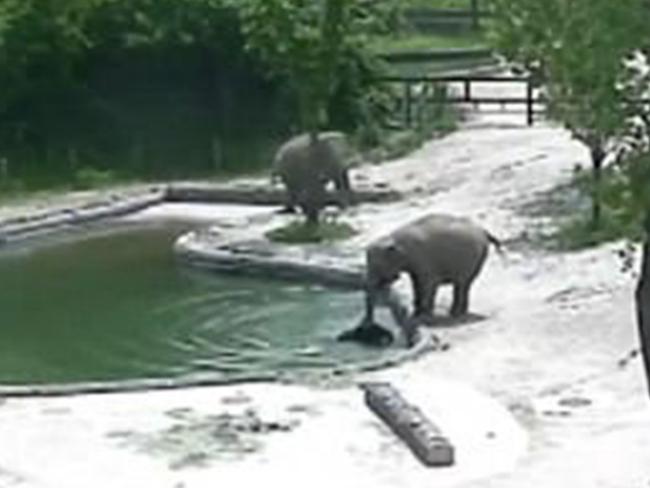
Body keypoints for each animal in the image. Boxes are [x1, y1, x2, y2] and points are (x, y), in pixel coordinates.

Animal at [362, 214, 498, 346]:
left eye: (377, 266)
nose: (369, 325)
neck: (393, 239)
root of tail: (484, 231)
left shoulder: (423, 260)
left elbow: (427, 284)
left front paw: (423, 318)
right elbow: (416, 282)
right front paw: (416, 314)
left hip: (475, 259)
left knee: (463, 284)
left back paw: (455, 314)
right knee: (464, 286)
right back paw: (457, 313)